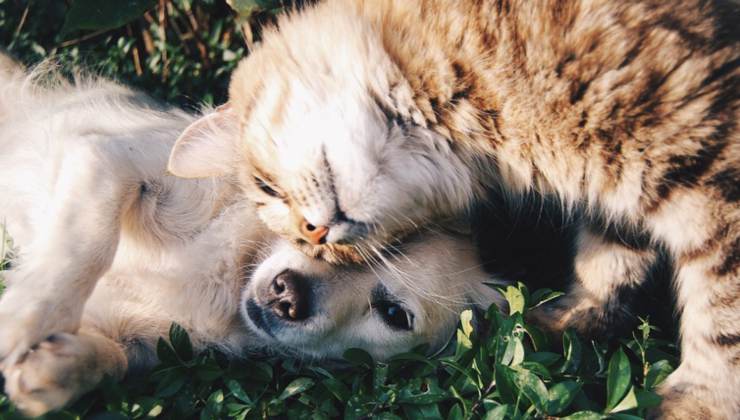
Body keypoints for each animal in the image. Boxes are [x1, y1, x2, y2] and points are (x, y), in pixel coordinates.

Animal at [168, 0, 740, 416]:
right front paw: (563, 322)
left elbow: (721, 316)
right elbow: (610, 261)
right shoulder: (619, 191)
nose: (314, 235)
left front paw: (701, 402)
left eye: (266, 187)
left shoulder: (709, 162)